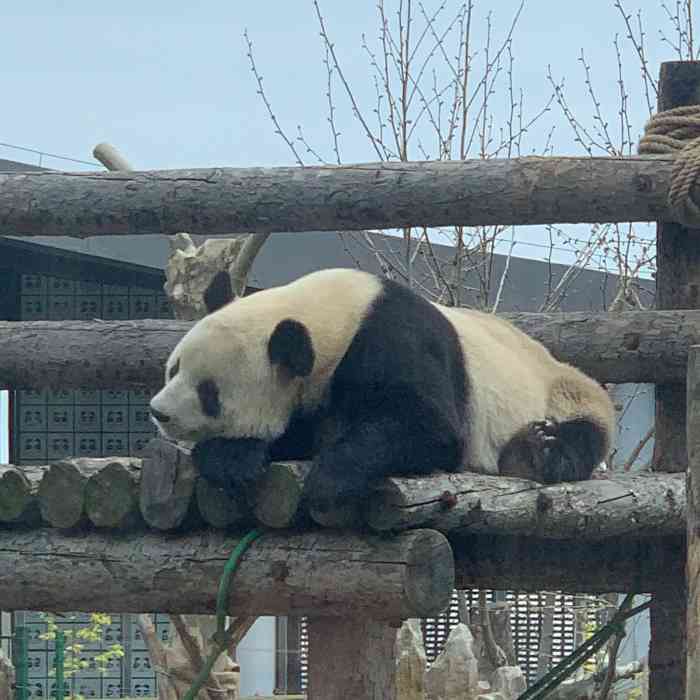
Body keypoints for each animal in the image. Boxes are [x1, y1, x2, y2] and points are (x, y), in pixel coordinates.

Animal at [148, 268, 612, 516]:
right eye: (174, 368)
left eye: (209, 392)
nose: (159, 412)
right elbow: (294, 435)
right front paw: (233, 457)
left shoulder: (395, 339)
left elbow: (429, 428)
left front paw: (330, 478)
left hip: (565, 393)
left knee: (577, 439)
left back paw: (535, 451)